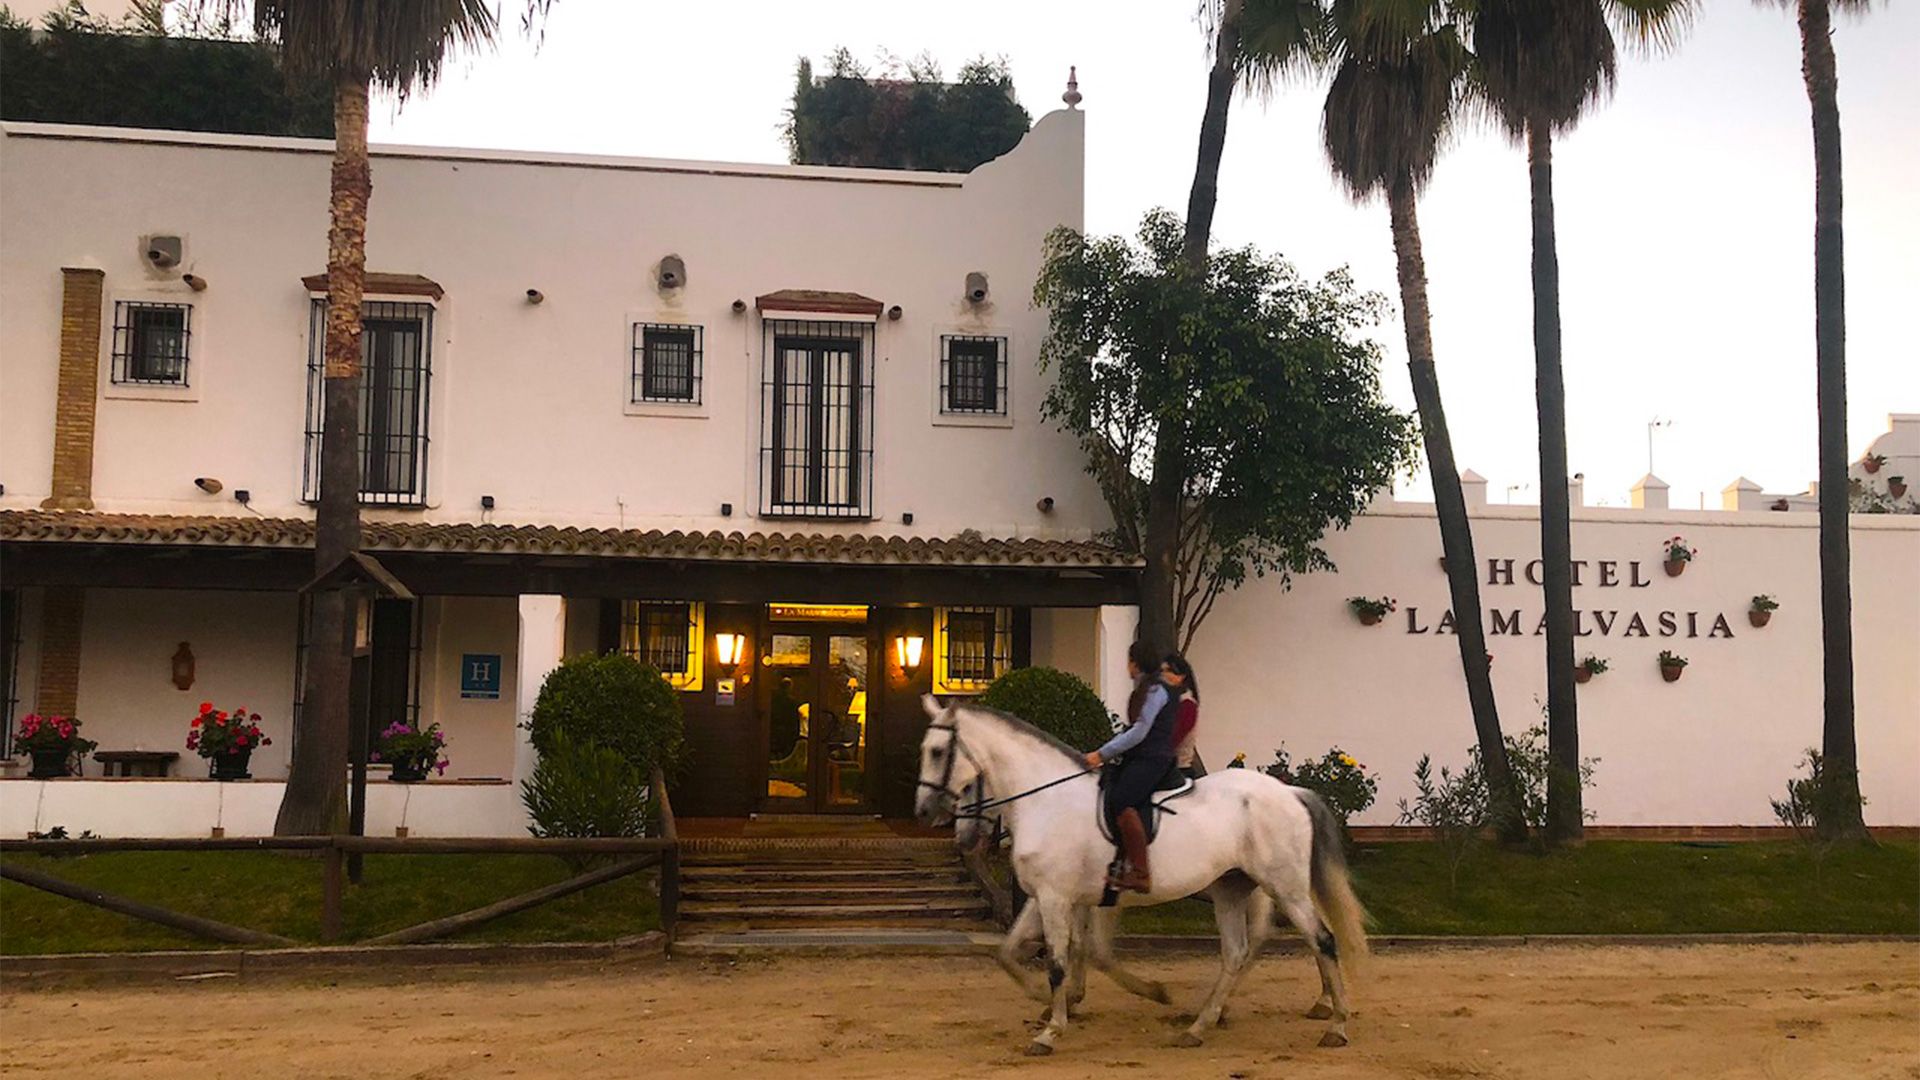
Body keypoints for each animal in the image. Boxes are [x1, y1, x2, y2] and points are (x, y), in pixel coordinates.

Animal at [913, 691, 1367, 1053]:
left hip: (1283, 886)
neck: (1047, 801)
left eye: (937, 752)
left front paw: (1052, 1029)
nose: (924, 812)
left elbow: (1062, 960)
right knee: (1240, 951)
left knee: (1321, 940)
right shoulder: (1050, 896)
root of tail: (1290, 791)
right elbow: (1010, 953)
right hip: (1232, 889)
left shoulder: (1060, 897)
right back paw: (1201, 1024)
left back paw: (1335, 1025)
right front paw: (1049, 1003)